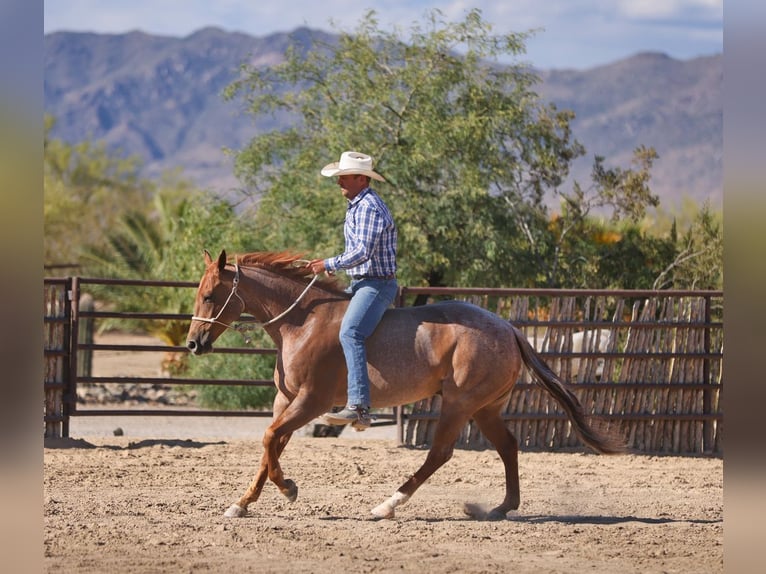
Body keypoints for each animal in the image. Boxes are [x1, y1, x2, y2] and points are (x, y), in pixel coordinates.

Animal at [186, 250, 626, 520]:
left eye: (210, 295)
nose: (193, 343)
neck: (303, 322)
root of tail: (508, 328)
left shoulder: (310, 403)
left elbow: (268, 440)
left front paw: (289, 489)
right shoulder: (286, 401)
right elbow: (269, 446)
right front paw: (242, 504)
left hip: (458, 404)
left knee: (440, 454)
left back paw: (387, 505)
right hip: (484, 408)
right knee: (508, 446)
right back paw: (501, 508)